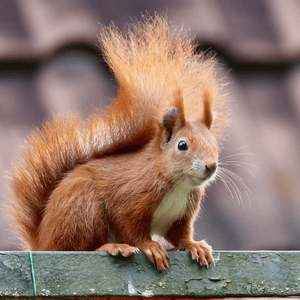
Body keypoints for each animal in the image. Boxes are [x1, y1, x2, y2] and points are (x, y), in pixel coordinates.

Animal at [6, 14, 227, 272]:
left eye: (214, 143)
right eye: (182, 145)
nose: (211, 166)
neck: (177, 183)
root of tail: (43, 241)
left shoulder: (182, 214)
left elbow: (180, 235)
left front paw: (194, 246)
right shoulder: (131, 199)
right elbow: (132, 229)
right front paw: (151, 246)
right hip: (83, 209)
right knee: (80, 247)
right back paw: (113, 246)